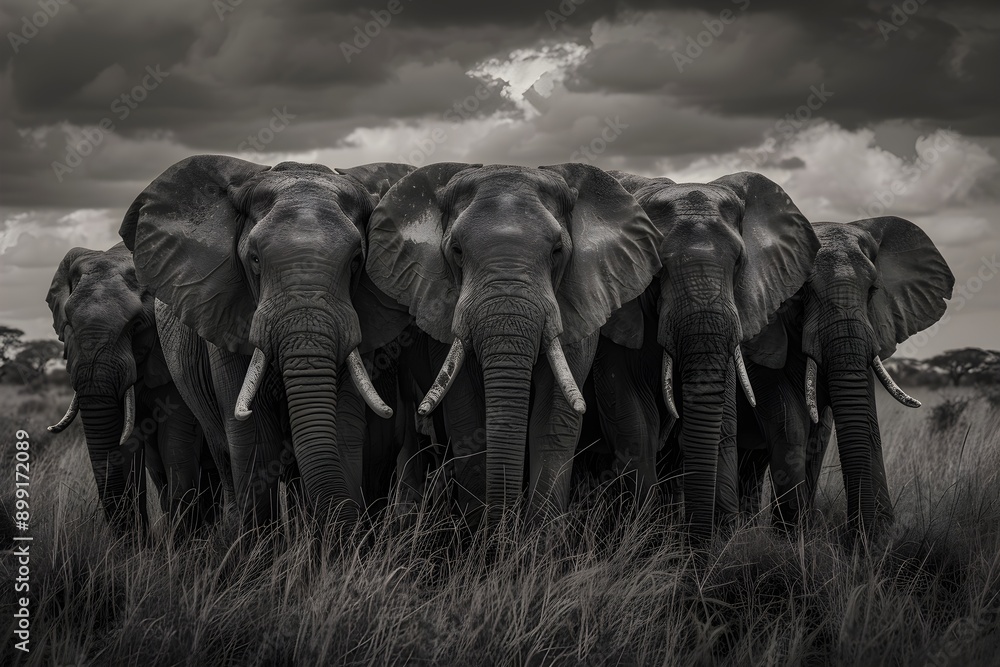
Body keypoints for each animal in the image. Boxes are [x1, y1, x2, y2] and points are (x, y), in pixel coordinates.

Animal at [46, 243, 222, 536]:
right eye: (68, 324)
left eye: (137, 325)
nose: (135, 542)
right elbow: (126, 444)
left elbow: (176, 443)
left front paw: (184, 545)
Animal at [365, 162, 662, 526]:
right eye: (457, 251)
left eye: (557, 251)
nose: (504, 527)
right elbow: (468, 420)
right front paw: (486, 536)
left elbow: (553, 422)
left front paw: (535, 539)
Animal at [592, 171, 820, 541]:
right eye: (657, 268)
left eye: (740, 263)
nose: (696, 544)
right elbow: (632, 419)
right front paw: (644, 540)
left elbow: (723, 420)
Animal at [737, 216, 955, 534]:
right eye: (800, 292)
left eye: (873, 290)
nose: (875, 528)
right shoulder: (757, 343)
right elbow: (790, 422)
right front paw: (791, 535)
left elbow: (832, 430)